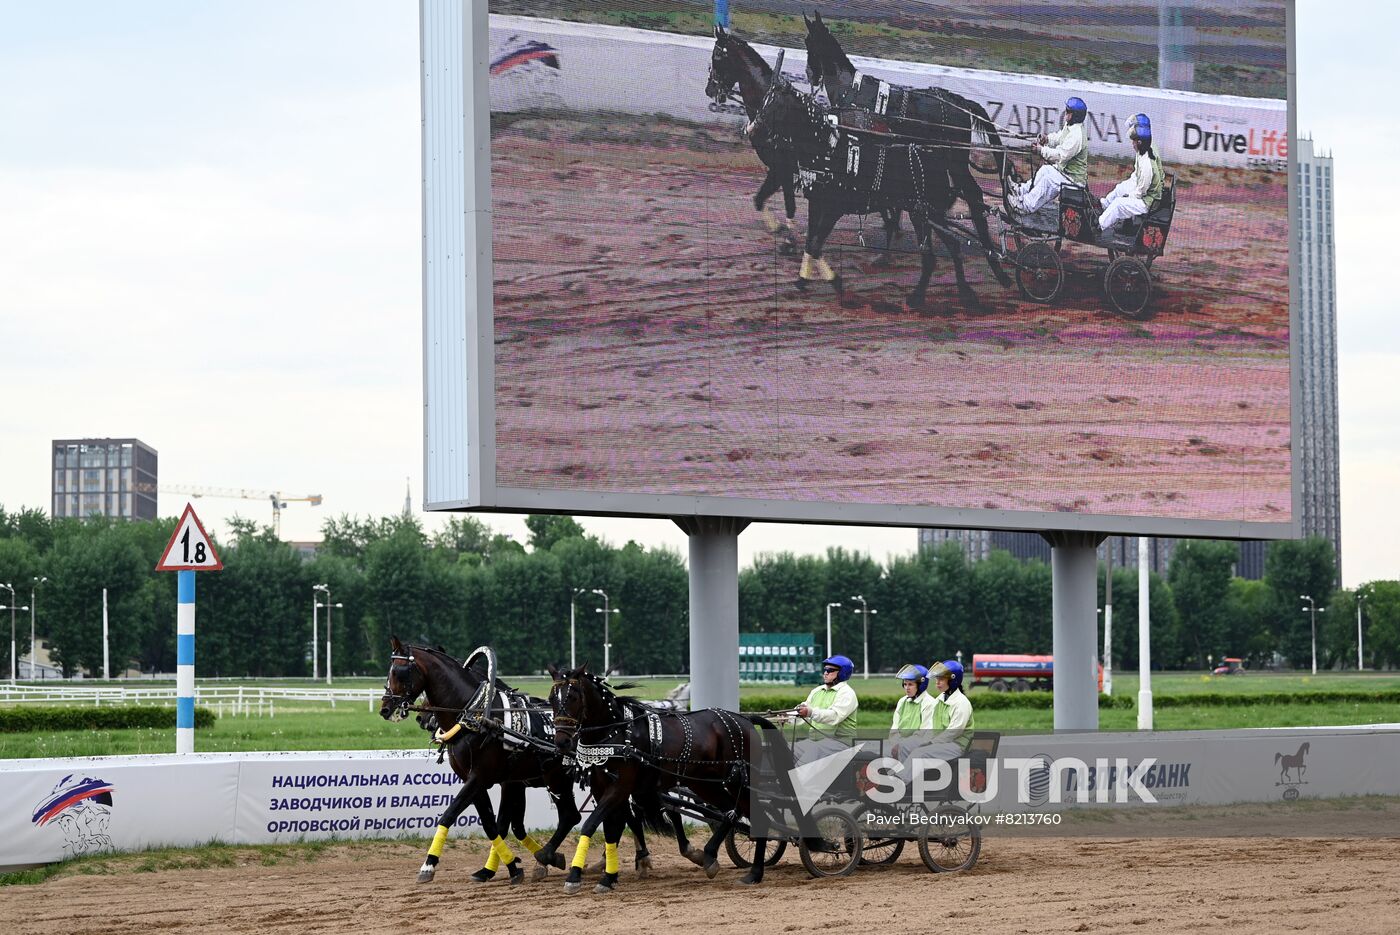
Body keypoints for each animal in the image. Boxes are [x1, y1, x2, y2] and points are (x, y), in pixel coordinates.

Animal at [378, 638, 660, 890]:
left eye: (400, 672)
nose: (385, 708)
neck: (478, 716)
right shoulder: (492, 782)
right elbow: (495, 824)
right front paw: (503, 867)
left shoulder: (481, 777)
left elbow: (453, 814)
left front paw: (428, 865)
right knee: (618, 814)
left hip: (560, 778)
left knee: (576, 815)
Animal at [546, 663, 778, 890]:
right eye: (551, 699)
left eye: (573, 696)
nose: (562, 742)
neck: (616, 733)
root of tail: (745, 719)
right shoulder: (601, 788)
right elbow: (611, 830)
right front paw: (608, 877)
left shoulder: (620, 787)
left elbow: (592, 824)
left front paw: (575, 876)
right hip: (706, 784)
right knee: (732, 810)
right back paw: (713, 857)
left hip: (739, 781)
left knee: (753, 815)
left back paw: (754, 872)